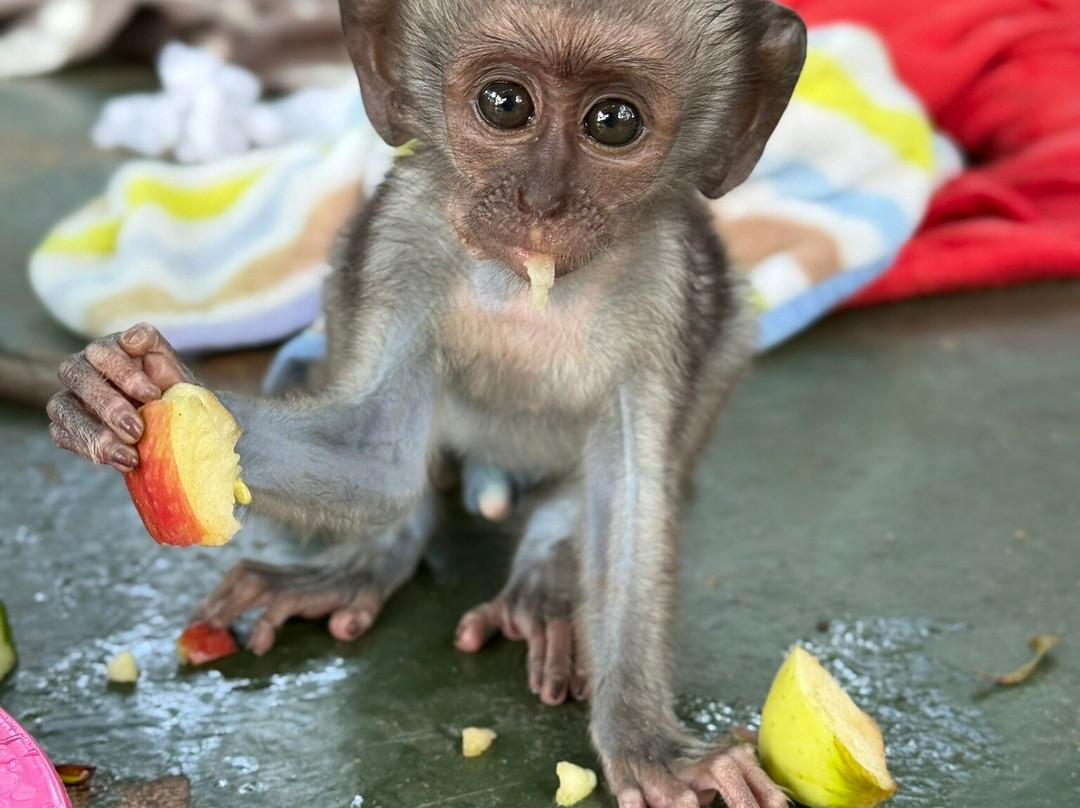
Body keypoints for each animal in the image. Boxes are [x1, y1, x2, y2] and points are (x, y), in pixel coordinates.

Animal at [44, 0, 806, 805]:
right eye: (505, 104)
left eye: (615, 121)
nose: (542, 204)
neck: (526, 287)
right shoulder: (404, 234)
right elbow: (379, 459)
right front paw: (126, 386)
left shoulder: (664, 280)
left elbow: (630, 507)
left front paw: (646, 741)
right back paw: (369, 565)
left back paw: (545, 576)